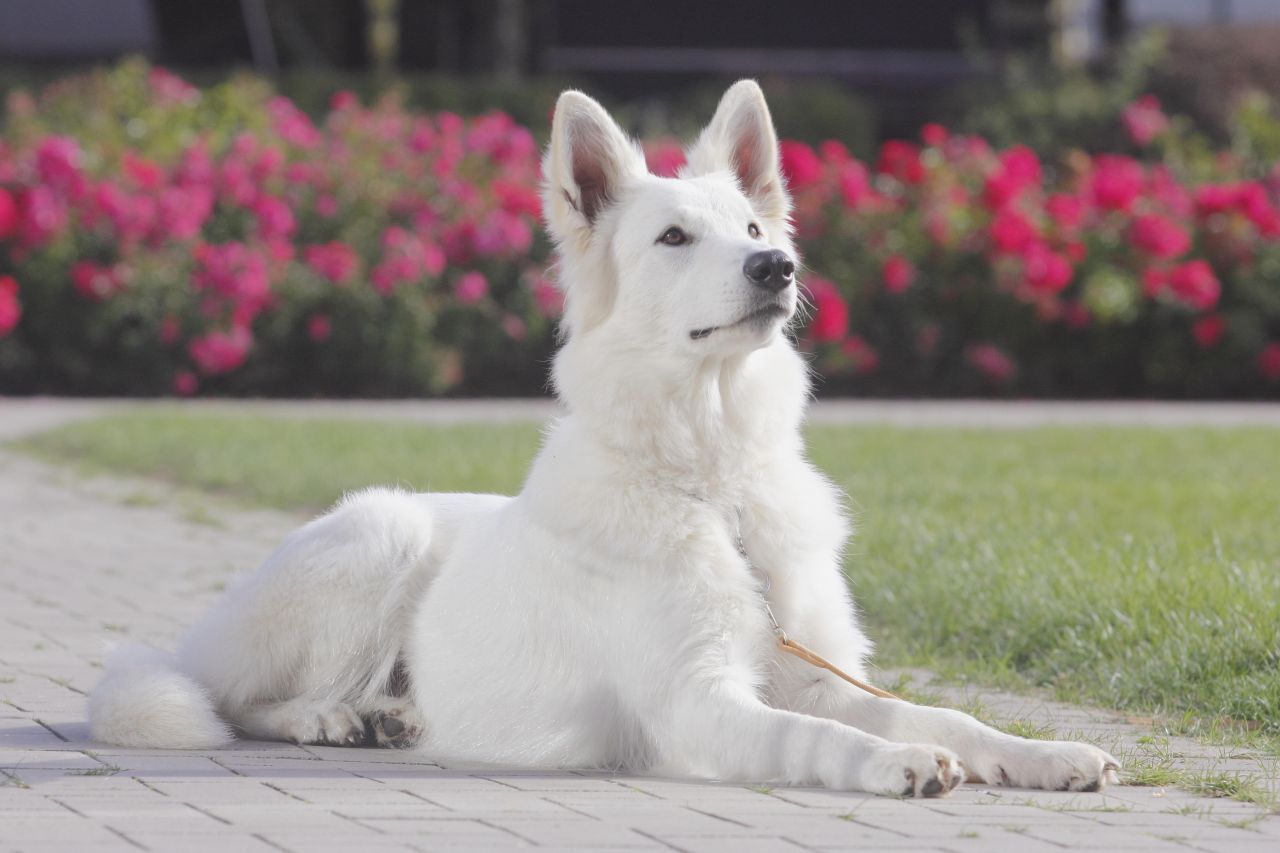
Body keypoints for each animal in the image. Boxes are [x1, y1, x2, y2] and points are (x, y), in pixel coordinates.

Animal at [90, 83, 1116, 794]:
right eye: (673, 238)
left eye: (752, 224)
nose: (776, 264)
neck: (710, 481)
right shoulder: (698, 703)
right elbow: (821, 736)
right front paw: (891, 762)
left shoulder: (812, 670)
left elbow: (933, 710)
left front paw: (1040, 751)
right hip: (380, 536)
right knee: (236, 699)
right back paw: (332, 717)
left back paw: (386, 713)